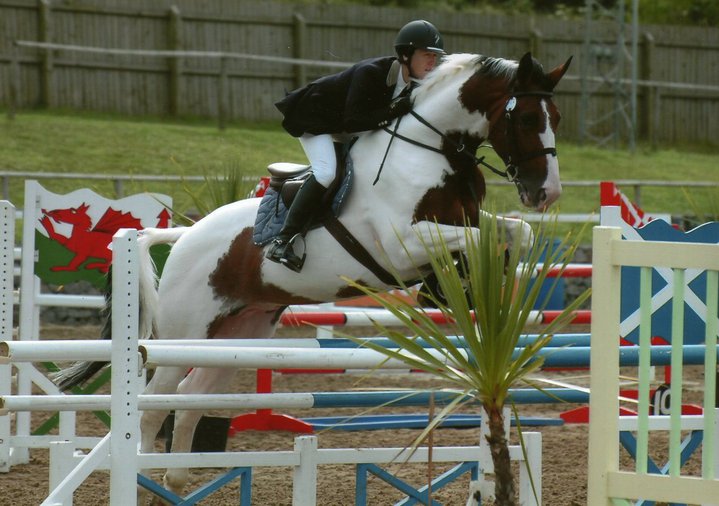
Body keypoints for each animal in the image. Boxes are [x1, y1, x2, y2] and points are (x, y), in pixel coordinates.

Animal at [55, 51, 571, 502]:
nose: (546, 193)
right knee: (152, 407)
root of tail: (184, 235)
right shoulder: (403, 241)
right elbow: (481, 239)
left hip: (238, 335)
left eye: (557, 117)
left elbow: (515, 233)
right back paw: (146, 482)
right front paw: (446, 292)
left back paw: (177, 482)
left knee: (190, 399)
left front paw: (464, 295)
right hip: (184, 337)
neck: (433, 149)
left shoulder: (462, 224)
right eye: (528, 119)